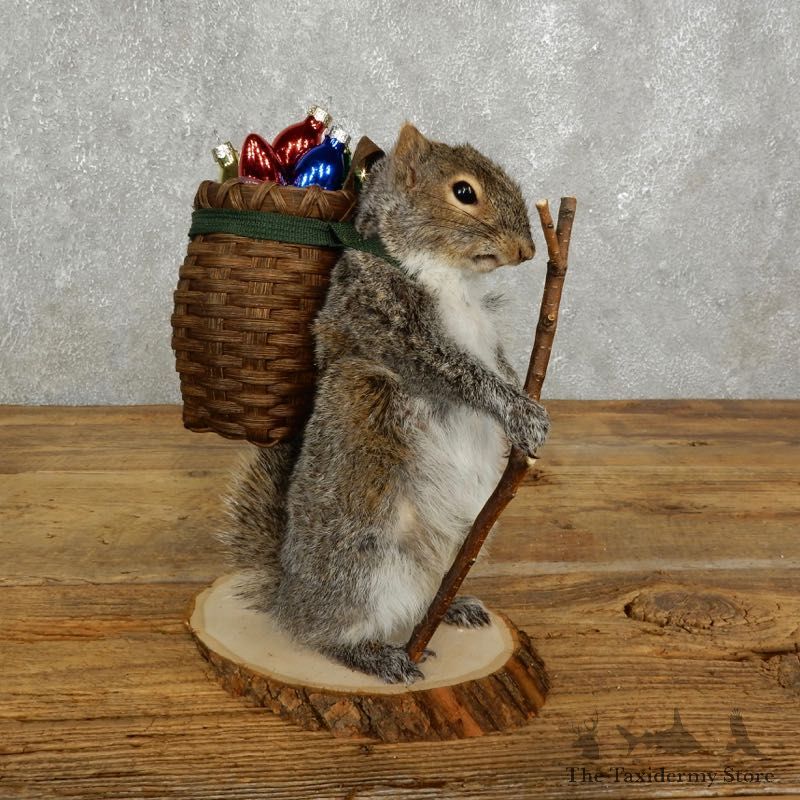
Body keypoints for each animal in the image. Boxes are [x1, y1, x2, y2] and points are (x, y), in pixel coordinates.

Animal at [219, 123, 549, 684]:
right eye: (464, 192)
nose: (526, 250)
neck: (451, 278)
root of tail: (290, 594)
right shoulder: (392, 325)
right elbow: (464, 377)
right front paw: (518, 411)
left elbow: (501, 365)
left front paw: (526, 405)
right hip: (363, 559)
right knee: (328, 633)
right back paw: (374, 655)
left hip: (456, 555)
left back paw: (454, 609)